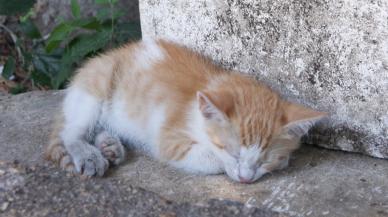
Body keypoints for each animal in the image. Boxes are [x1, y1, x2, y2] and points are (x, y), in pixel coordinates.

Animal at [45, 38, 326, 183]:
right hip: (96, 89)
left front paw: (281, 161)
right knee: (72, 131)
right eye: (233, 152)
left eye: (265, 159)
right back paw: (89, 154)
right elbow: (212, 160)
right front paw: (221, 163)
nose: (246, 178)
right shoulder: (168, 138)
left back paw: (110, 145)